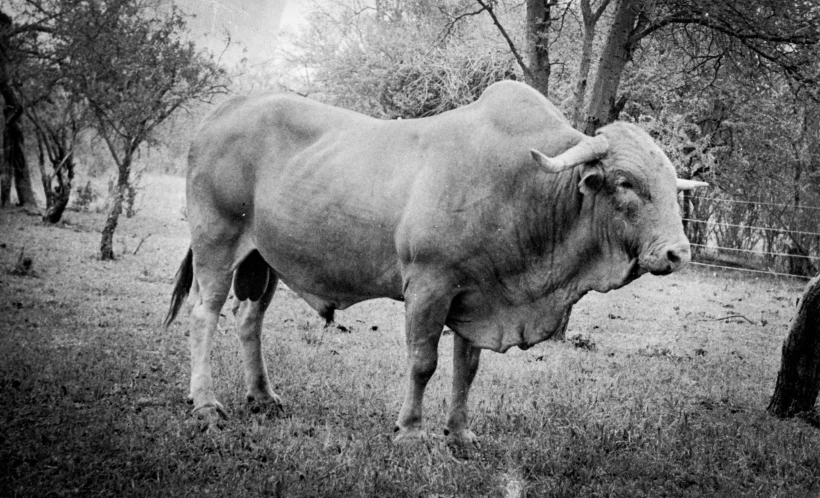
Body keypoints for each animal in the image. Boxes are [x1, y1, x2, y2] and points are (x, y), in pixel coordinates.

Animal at [165, 80, 704, 444]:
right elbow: (423, 362)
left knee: (248, 318)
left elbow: (468, 368)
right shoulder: (429, 287)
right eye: (626, 182)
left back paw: (262, 396)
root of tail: (226, 109)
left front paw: (459, 434)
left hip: (266, 259)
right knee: (204, 315)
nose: (677, 252)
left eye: (670, 182)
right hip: (217, 240)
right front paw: (410, 430)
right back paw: (206, 403)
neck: (523, 187)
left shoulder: (480, 297)